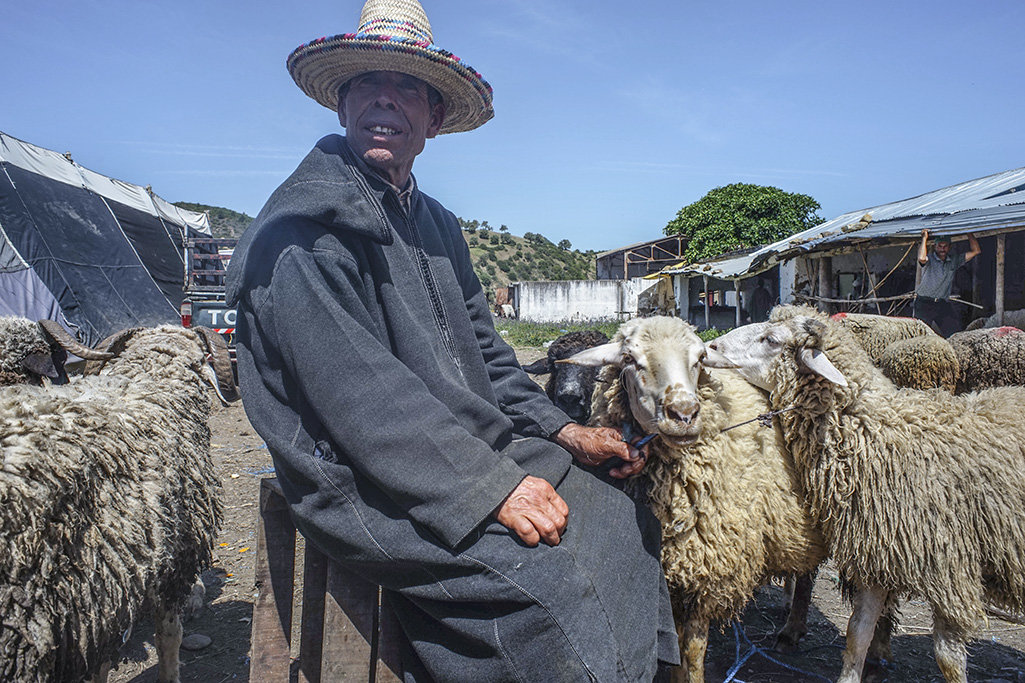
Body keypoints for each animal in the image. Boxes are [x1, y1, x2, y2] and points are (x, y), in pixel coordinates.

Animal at [0, 324, 234, 680]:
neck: (149, 382)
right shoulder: (175, 555)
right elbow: (168, 636)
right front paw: (170, 674)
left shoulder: (102, 593)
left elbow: (101, 664)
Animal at [709, 303, 1025, 680]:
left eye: (771, 339)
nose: (709, 347)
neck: (876, 433)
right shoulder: (878, 552)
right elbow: (857, 633)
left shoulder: (952, 568)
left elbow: (948, 658)